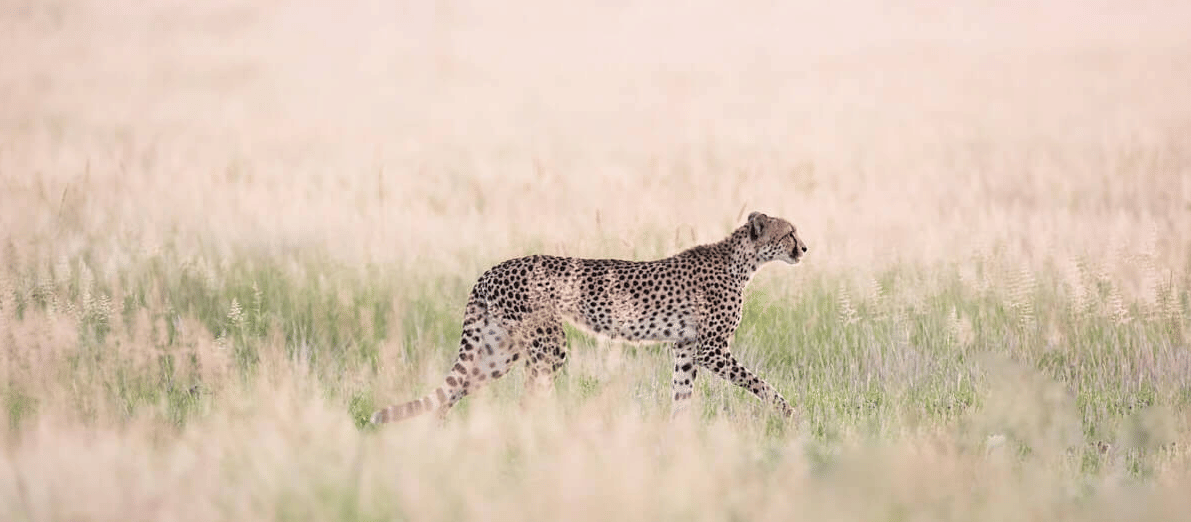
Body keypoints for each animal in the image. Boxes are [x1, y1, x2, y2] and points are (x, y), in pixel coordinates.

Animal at [370, 211, 808, 424]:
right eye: (789, 233)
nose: (804, 247)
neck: (743, 261)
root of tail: (494, 268)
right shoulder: (711, 349)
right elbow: (761, 384)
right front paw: (791, 415)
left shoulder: (685, 350)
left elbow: (681, 396)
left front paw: (677, 439)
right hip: (548, 344)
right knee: (529, 396)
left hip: (500, 350)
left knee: (455, 391)